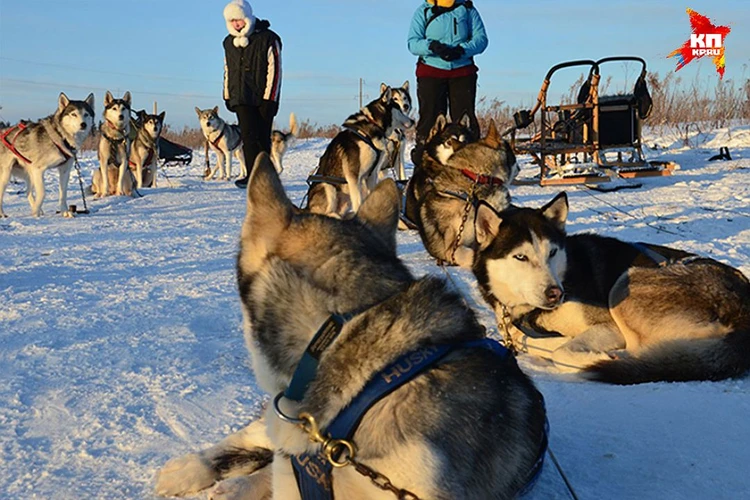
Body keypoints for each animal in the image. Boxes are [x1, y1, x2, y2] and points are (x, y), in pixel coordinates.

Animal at [476, 190, 750, 382]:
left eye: (552, 252)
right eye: (520, 257)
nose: (555, 294)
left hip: (623, 286)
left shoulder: (607, 325)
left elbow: (558, 351)